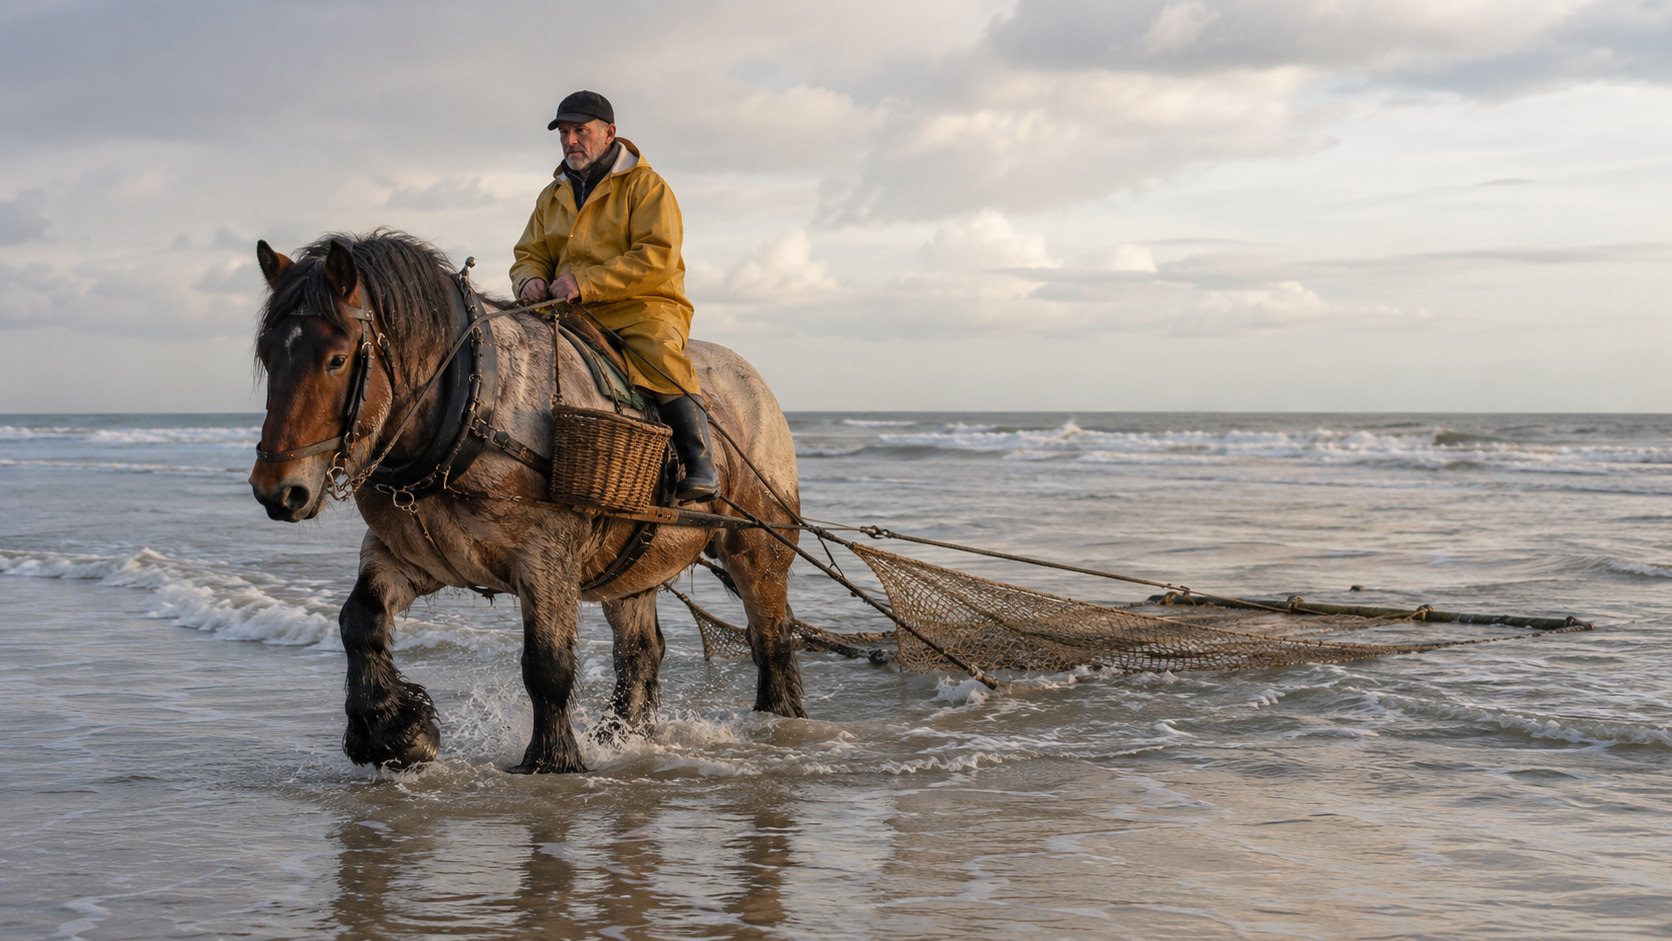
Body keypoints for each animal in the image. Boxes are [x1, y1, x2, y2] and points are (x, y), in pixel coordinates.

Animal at [247, 230, 804, 773]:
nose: (277, 490)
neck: (475, 401)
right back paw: (621, 736)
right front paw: (395, 732)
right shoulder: (409, 556)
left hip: (760, 551)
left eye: (337, 359)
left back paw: (778, 719)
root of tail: (753, 380)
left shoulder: (546, 559)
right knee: (642, 652)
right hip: (634, 564)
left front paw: (552, 758)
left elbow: (547, 662)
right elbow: (358, 623)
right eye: (268, 355)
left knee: (771, 637)